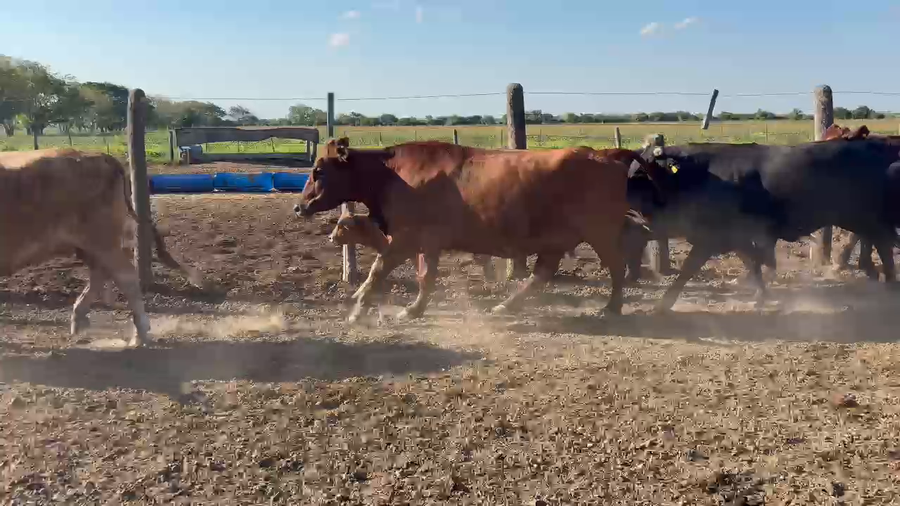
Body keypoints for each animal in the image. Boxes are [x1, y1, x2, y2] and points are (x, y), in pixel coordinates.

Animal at [0, 148, 203, 347]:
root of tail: (97, 155)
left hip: (102, 241)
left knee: (125, 276)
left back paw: (139, 335)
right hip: (89, 245)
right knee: (100, 274)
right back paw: (79, 320)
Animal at [295, 138, 660, 323]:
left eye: (318, 171)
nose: (299, 207)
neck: (392, 174)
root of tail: (604, 154)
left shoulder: (408, 238)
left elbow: (378, 270)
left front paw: (359, 308)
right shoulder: (427, 242)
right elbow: (425, 277)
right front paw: (414, 308)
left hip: (599, 232)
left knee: (616, 266)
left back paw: (612, 307)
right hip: (556, 240)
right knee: (541, 275)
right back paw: (506, 307)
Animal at [639, 138, 900, 311]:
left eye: (640, 171)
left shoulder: (712, 236)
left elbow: (688, 268)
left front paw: (663, 304)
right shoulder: (737, 236)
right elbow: (752, 261)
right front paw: (761, 293)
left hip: (866, 218)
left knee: (883, 246)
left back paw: (888, 285)